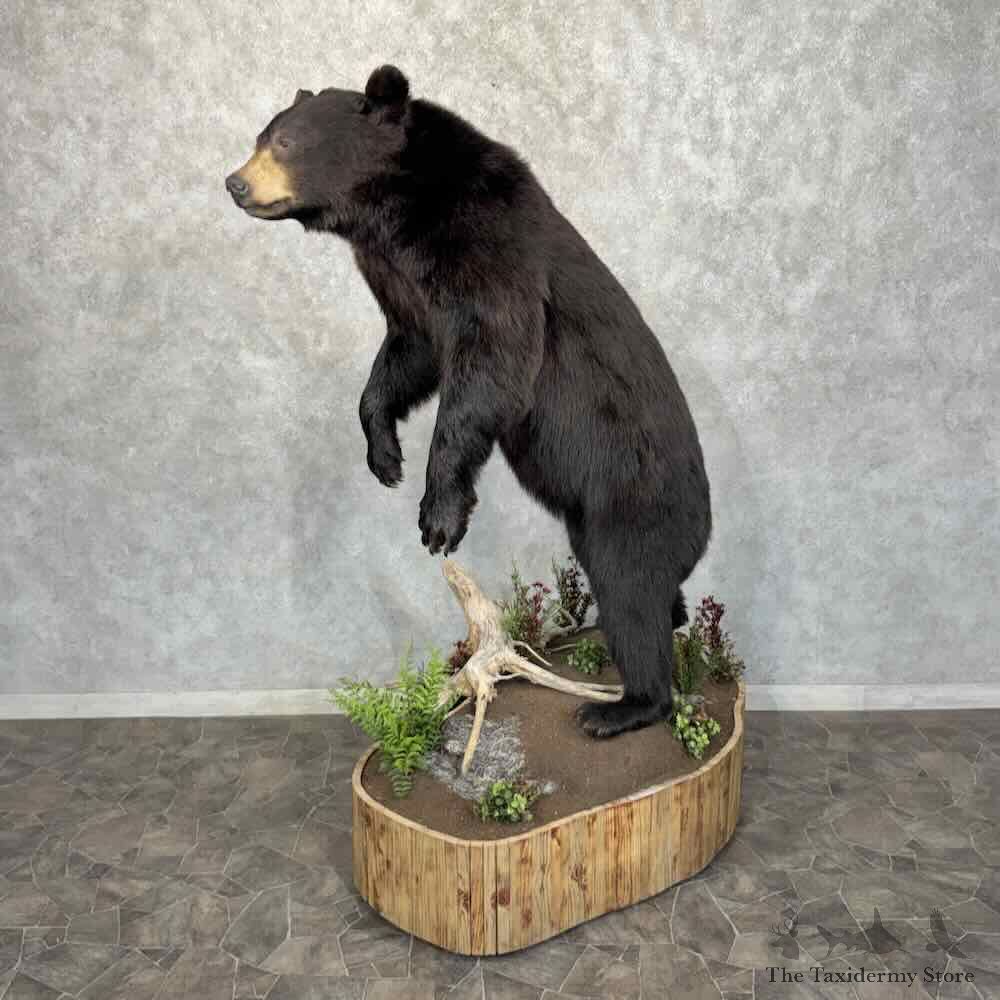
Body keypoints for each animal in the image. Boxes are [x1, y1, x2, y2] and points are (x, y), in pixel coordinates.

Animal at [226, 65, 712, 738]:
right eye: (263, 135)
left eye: (287, 142)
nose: (235, 182)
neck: (396, 214)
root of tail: (702, 526)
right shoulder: (404, 285)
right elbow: (407, 354)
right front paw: (384, 455)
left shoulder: (487, 247)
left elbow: (491, 366)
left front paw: (438, 516)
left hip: (631, 500)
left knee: (630, 590)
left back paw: (622, 705)